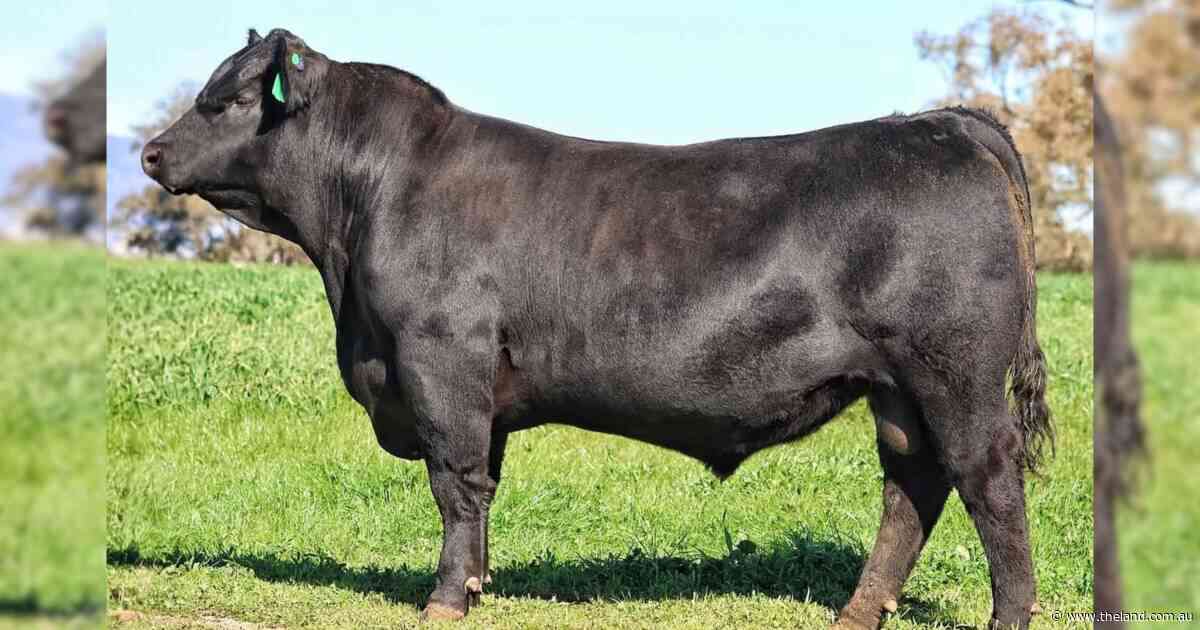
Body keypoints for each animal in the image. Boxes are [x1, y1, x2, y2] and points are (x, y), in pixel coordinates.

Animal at [141, 29, 1053, 629]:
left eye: (226, 100)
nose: (149, 152)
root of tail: (940, 122)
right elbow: (483, 486)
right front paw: (479, 587)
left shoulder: (439, 363)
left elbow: (453, 483)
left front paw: (443, 602)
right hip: (897, 392)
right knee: (912, 487)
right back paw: (858, 612)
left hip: (957, 377)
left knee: (988, 483)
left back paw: (1007, 616)